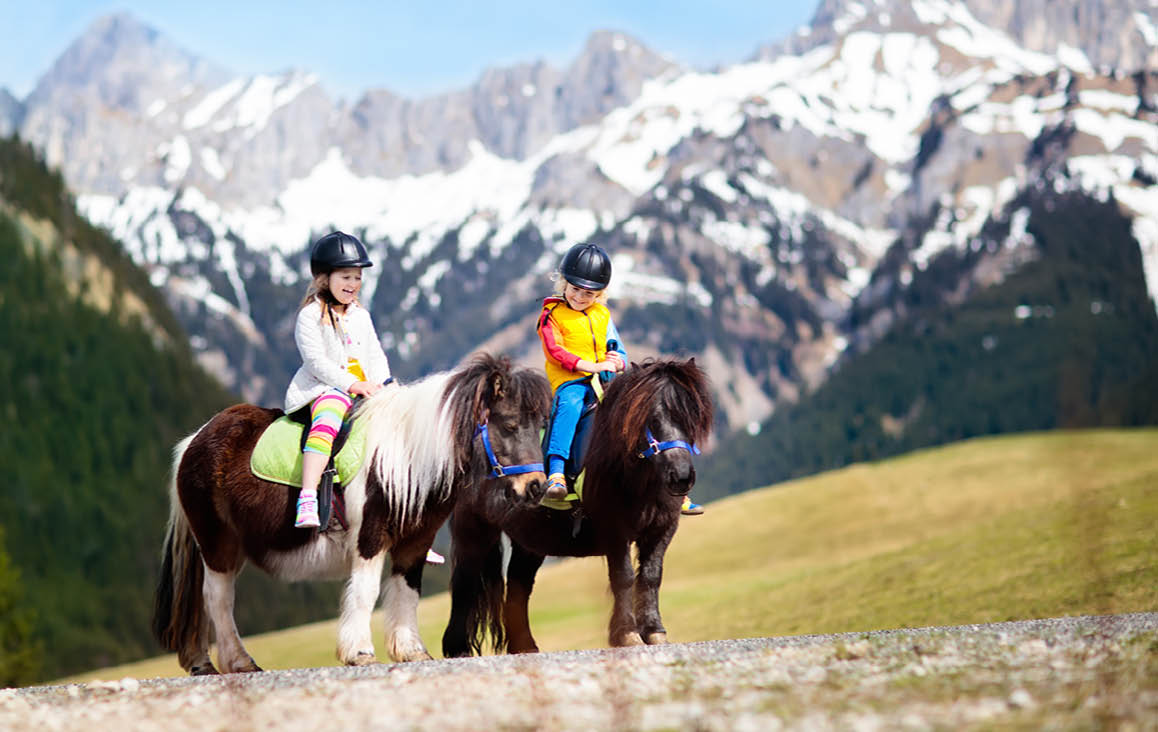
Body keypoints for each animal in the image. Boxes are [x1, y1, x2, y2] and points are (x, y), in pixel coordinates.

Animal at [152, 353, 551, 674]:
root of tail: (193, 441)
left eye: (541, 425)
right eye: (509, 424)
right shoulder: (370, 537)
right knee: (218, 599)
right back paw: (240, 662)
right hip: (216, 541)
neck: (403, 457)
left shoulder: (415, 541)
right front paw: (359, 652)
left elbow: (408, 590)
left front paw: (411, 650)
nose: (536, 487)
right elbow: (366, 591)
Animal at [442, 358, 713, 656]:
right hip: (474, 528)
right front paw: (627, 633)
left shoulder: (662, 529)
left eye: (692, 416)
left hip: (531, 541)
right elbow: (624, 577)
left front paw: (654, 631)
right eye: (651, 418)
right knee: (465, 581)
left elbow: (652, 577)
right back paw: (457, 647)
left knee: (517, 588)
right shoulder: (614, 530)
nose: (681, 477)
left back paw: (524, 646)